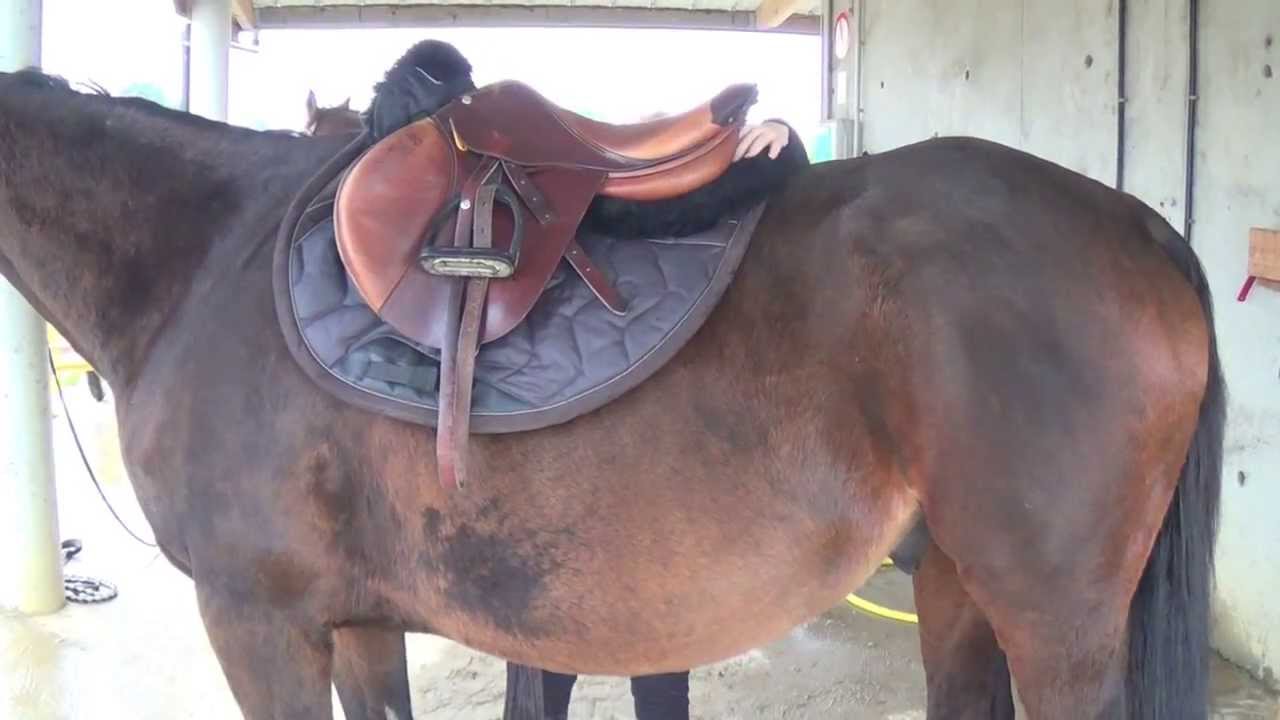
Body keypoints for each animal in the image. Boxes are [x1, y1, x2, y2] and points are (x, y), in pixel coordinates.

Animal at [0, 66, 1223, 720]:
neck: (203, 260)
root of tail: (1138, 222)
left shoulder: (258, 621)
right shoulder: (356, 623)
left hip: (1056, 621)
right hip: (957, 584)